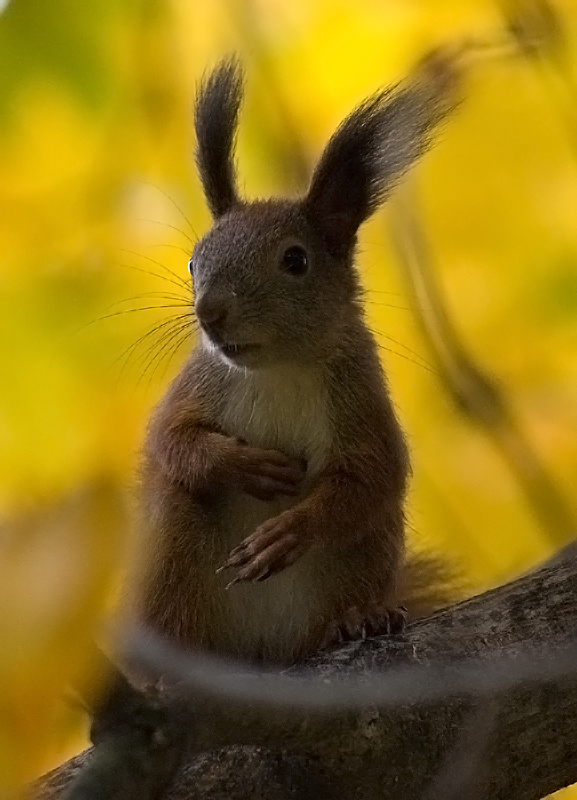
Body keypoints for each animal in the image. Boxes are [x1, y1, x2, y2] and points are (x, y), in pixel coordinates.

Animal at [128, 48, 462, 664]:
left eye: (295, 260)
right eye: (194, 260)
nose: (210, 311)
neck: (275, 369)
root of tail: (262, 653)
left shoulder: (361, 400)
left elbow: (370, 479)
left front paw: (290, 532)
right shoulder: (197, 385)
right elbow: (172, 439)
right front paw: (242, 466)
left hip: (365, 556)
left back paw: (358, 620)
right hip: (172, 548)